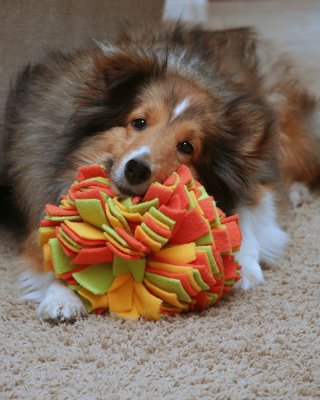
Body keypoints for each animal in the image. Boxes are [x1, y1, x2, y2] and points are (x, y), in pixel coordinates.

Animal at [3, 21, 320, 320]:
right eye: (139, 122)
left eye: (187, 146)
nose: (136, 169)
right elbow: (51, 251)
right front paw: (61, 299)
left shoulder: (254, 179)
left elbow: (250, 213)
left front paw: (244, 265)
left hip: (289, 132)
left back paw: (298, 192)